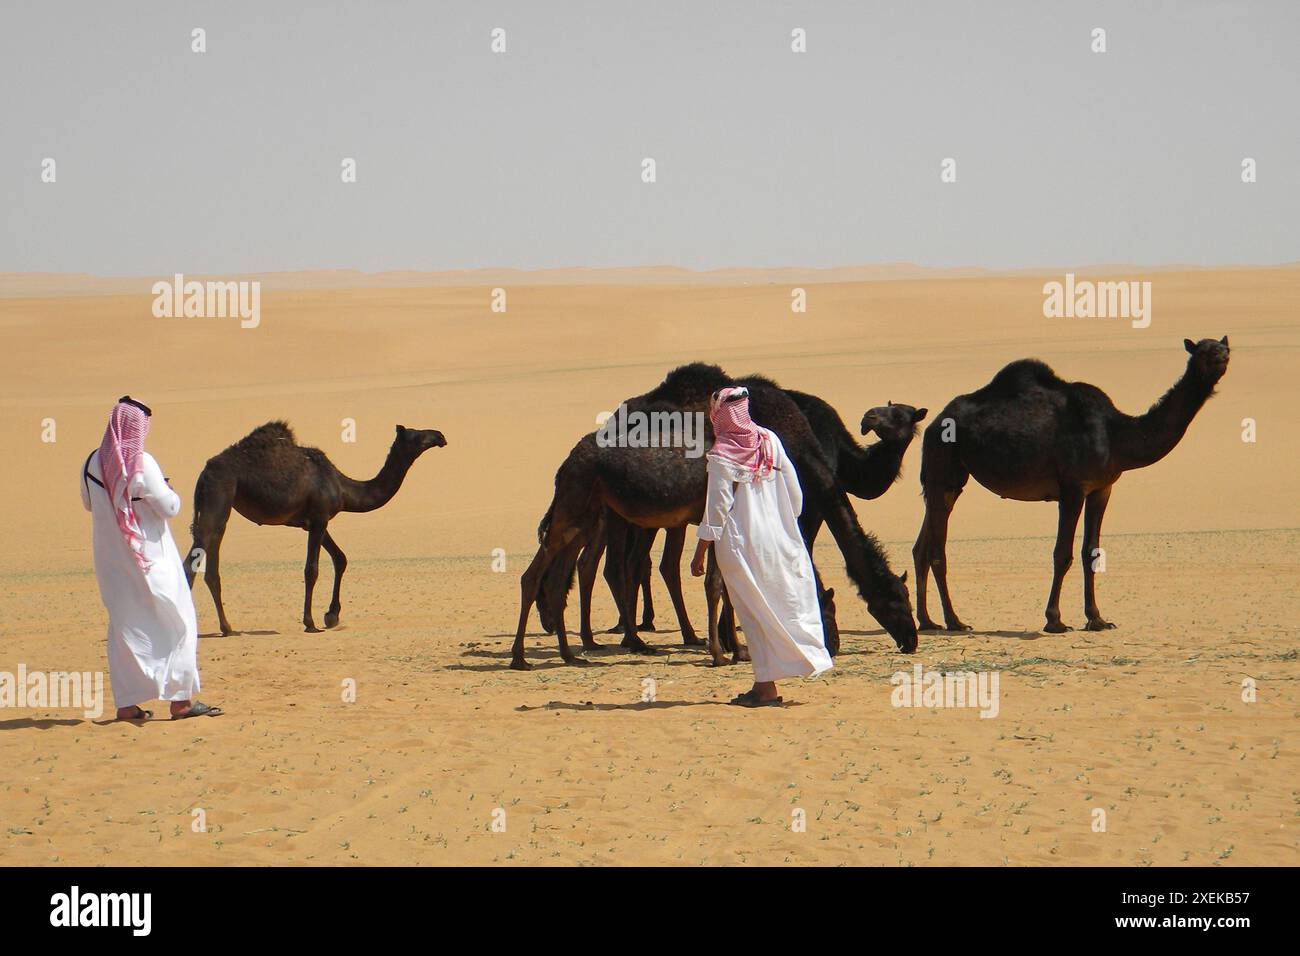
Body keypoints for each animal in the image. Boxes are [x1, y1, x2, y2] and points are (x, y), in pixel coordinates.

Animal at [183, 421, 447, 634]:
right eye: (416, 435)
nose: (440, 435)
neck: (343, 488)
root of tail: (204, 472)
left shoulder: (314, 522)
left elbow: (341, 558)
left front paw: (332, 615)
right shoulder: (320, 518)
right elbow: (312, 570)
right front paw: (310, 622)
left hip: (219, 506)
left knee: (209, 563)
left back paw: (227, 628)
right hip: (218, 494)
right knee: (192, 561)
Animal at [506, 361, 915, 671]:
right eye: (894, 599)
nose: (911, 639)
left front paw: (736, 641)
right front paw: (737, 642)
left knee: (609, 564)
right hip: (612, 511)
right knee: (612, 565)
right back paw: (620, 639)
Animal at [915, 335, 1227, 634]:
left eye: (1224, 347)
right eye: (1204, 351)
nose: (1222, 358)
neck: (1115, 434)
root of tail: (934, 422)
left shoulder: (1102, 488)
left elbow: (1091, 551)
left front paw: (1097, 619)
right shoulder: (1073, 488)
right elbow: (1062, 553)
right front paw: (1054, 621)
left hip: (947, 479)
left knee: (922, 546)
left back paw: (927, 621)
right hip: (942, 462)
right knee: (937, 550)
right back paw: (954, 621)